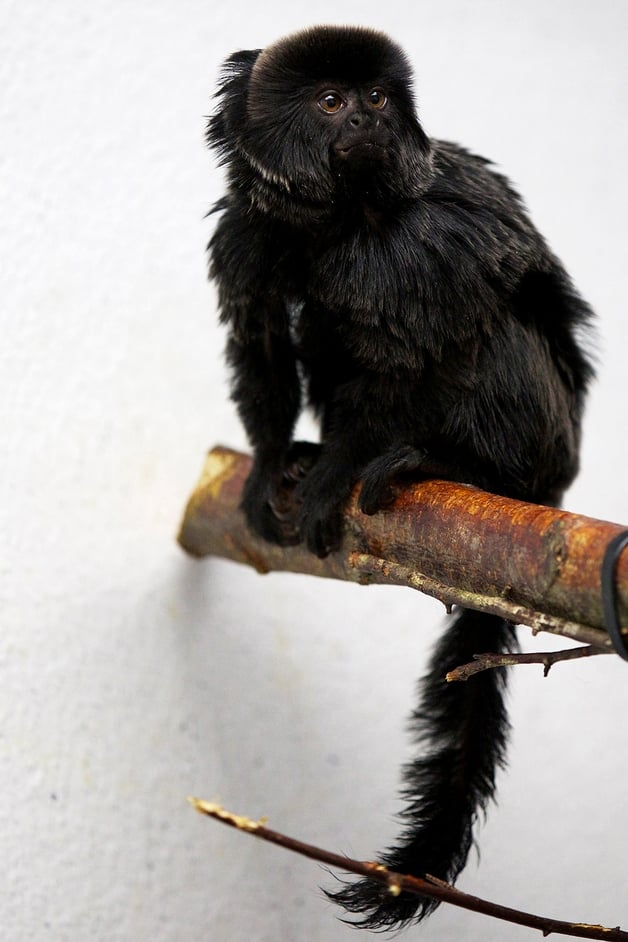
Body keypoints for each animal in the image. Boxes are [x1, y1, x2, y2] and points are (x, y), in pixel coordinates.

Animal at [206, 25, 592, 932]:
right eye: (332, 101)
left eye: (379, 99)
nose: (368, 122)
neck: (340, 216)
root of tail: (550, 491)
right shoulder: (247, 232)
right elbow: (263, 338)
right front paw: (274, 461)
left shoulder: (422, 243)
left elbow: (404, 356)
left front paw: (338, 468)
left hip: (545, 440)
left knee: (489, 334)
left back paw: (449, 465)